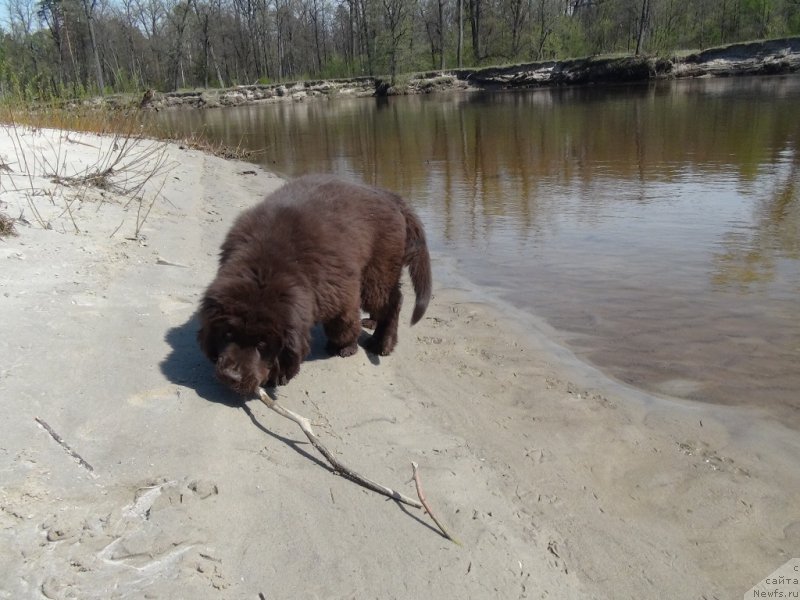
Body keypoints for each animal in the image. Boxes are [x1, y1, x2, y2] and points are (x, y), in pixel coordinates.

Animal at [196, 175, 432, 394]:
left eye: (262, 344)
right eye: (227, 334)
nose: (231, 377)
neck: (267, 265)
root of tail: (390, 196)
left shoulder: (340, 293)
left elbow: (343, 325)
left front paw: (344, 347)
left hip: (377, 272)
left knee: (393, 301)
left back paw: (382, 342)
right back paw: (372, 324)